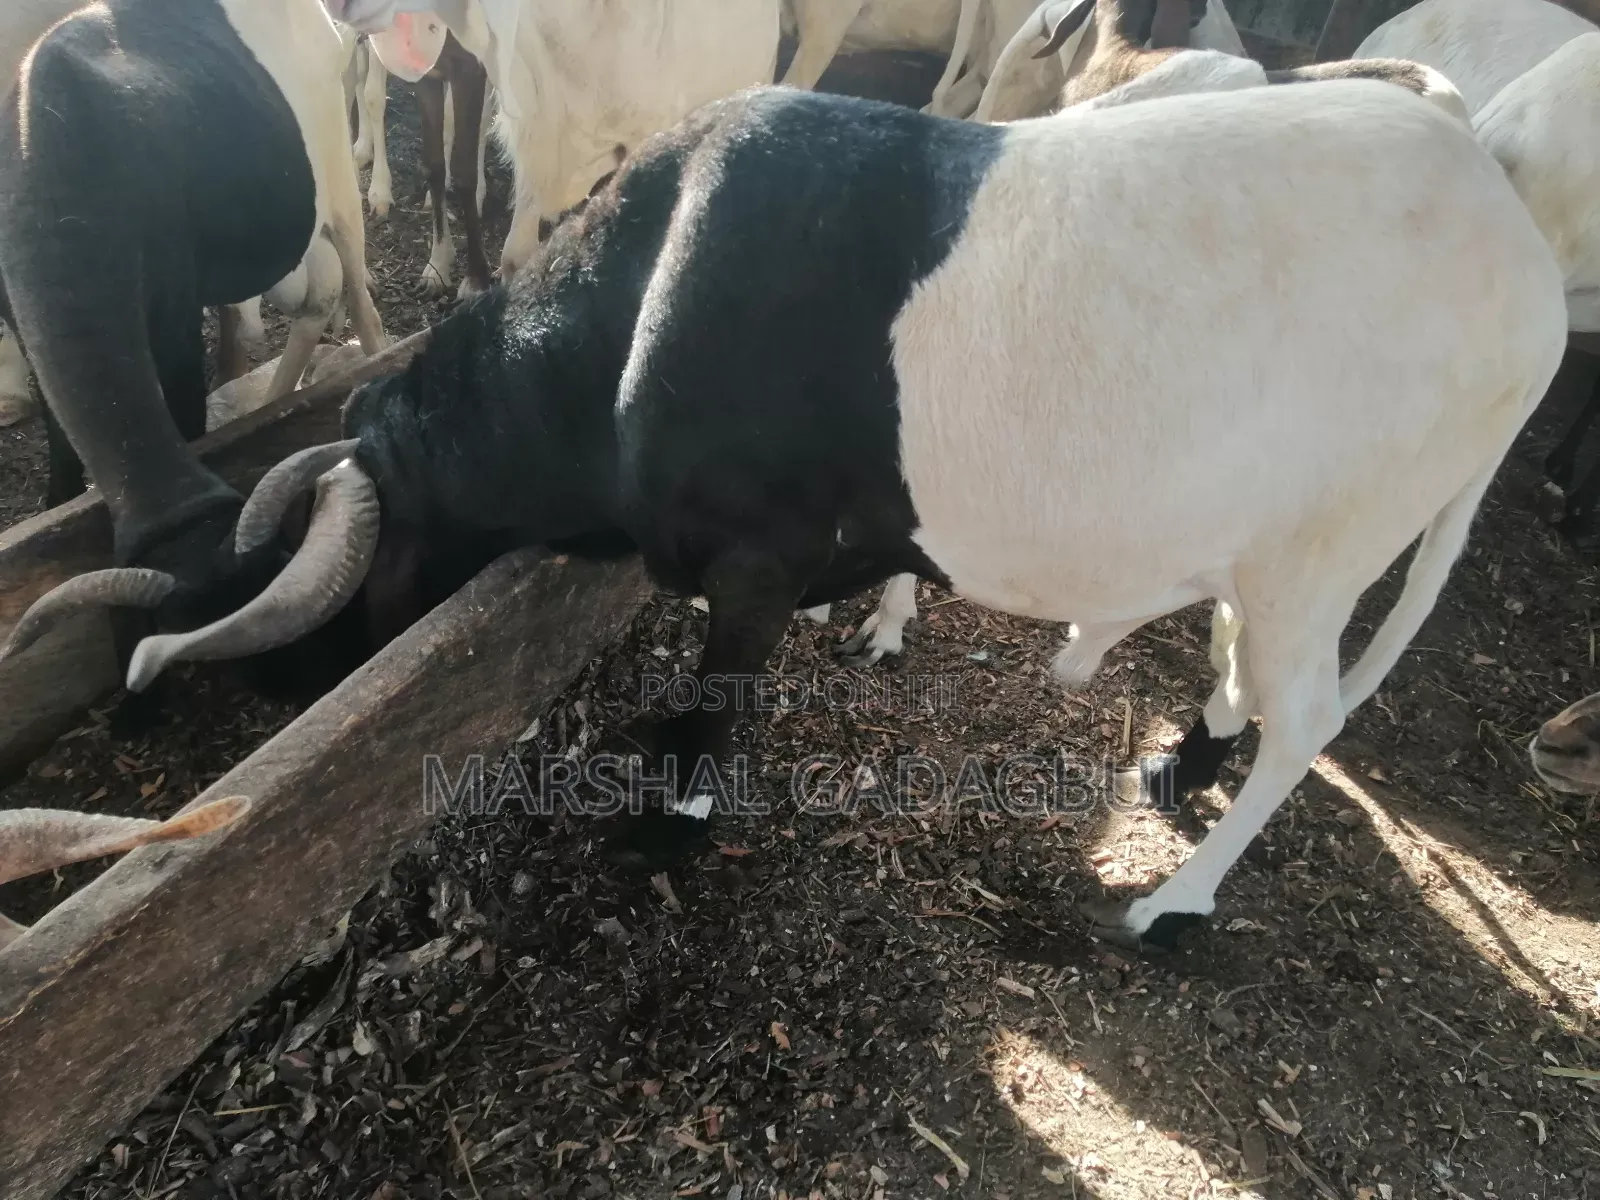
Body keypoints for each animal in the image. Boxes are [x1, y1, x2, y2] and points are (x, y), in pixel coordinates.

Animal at [12, 79, 1566, 949]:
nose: (270, 695)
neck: (635, 320)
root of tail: (1522, 252)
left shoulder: (753, 563)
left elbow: (722, 698)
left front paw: (674, 823)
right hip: (1277, 545)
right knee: (1244, 650)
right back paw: (1187, 753)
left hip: (1328, 547)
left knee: (1311, 715)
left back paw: (1169, 904)